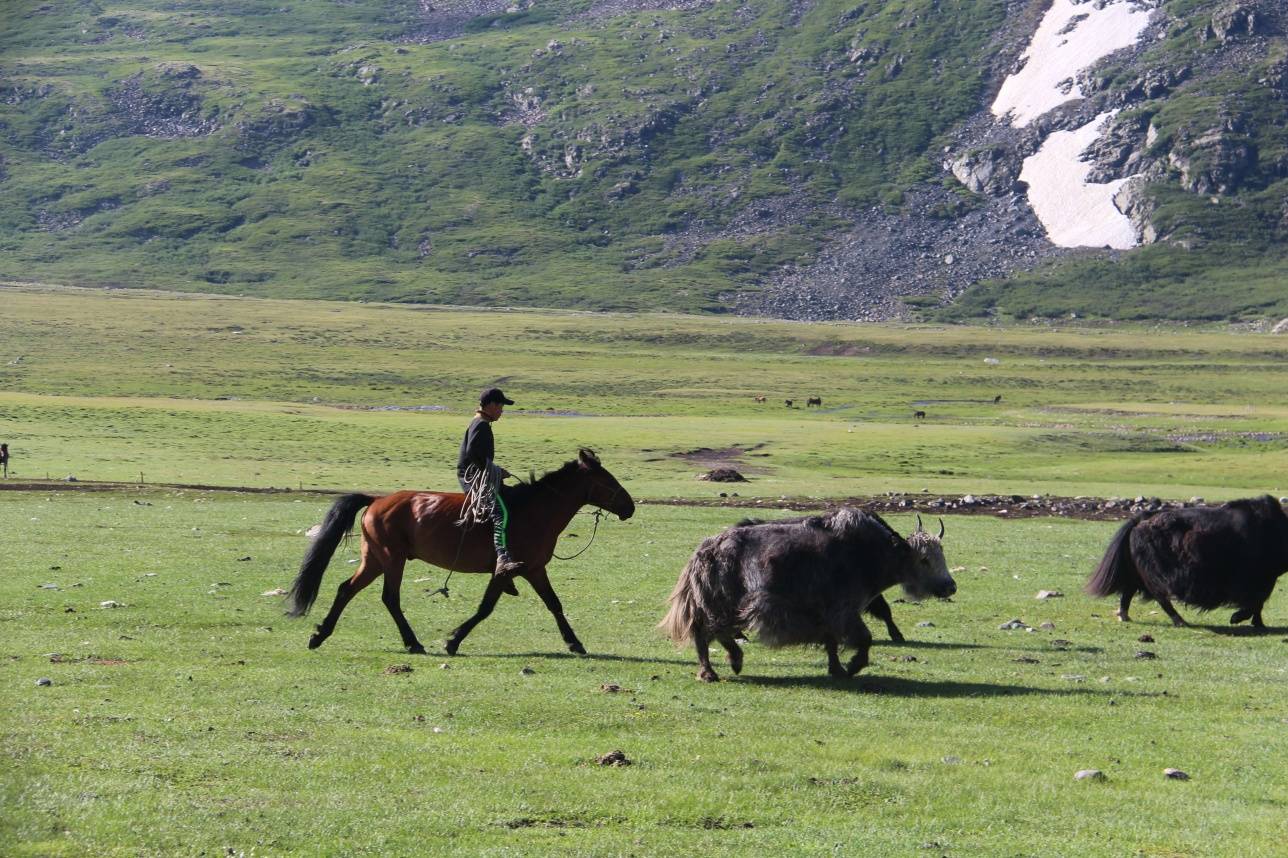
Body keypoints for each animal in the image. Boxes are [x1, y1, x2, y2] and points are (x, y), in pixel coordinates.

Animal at [289, 450, 636, 651]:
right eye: (607, 480)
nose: (630, 507)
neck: (535, 512)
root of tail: (376, 500)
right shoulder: (505, 569)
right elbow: (485, 608)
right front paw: (453, 641)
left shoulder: (535, 569)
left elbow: (554, 604)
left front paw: (575, 643)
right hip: (392, 559)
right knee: (389, 598)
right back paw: (412, 643)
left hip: (374, 559)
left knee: (346, 589)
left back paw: (319, 635)